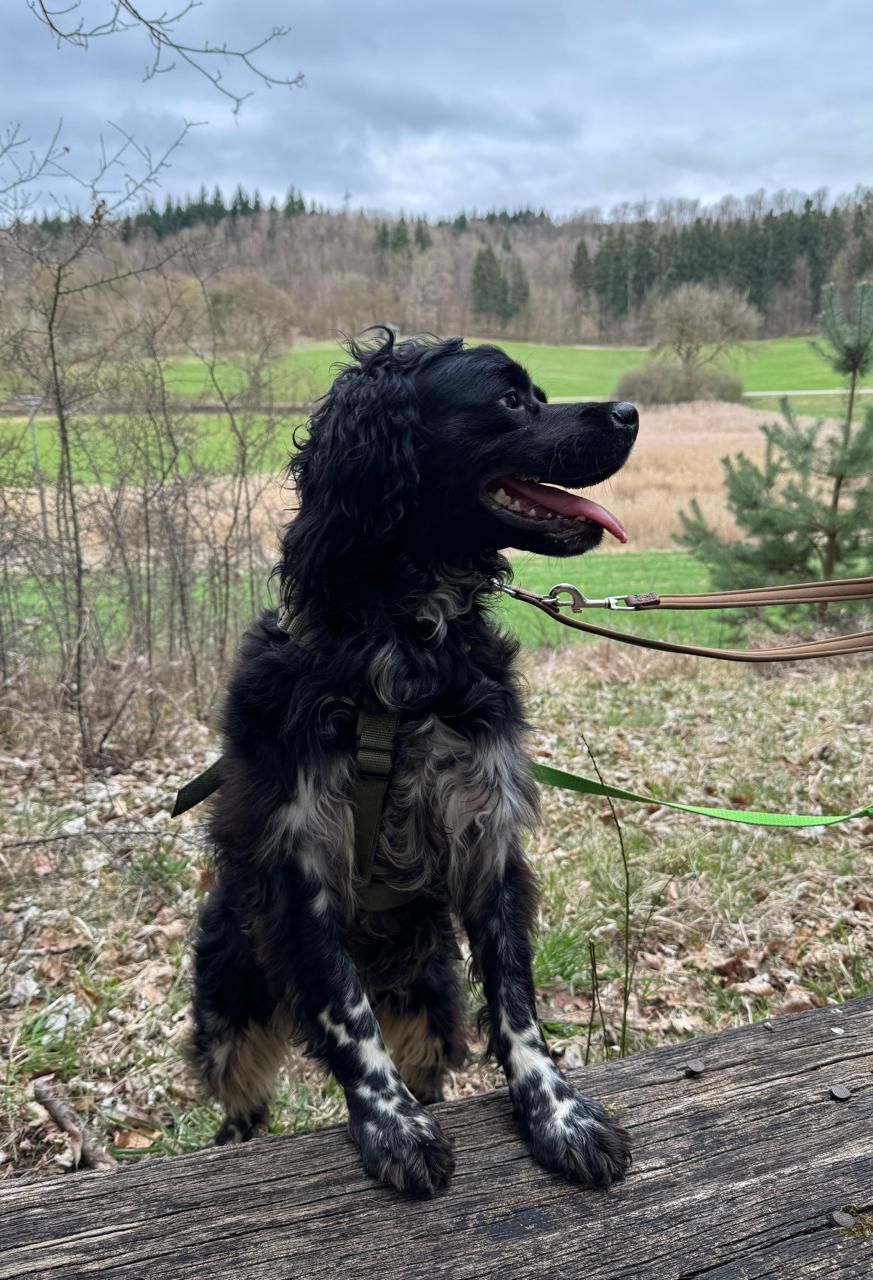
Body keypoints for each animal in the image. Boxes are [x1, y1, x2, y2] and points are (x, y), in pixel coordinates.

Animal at [187, 330, 639, 1196]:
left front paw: (558, 1113)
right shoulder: (301, 861)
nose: (631, 410)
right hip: (232, 1002)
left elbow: (517, 1004)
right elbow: (344, 1013)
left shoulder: (487, 837)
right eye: (508, 399)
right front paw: (389, 1124)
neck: (404, 648)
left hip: (429, 1005)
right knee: (243, 1102)